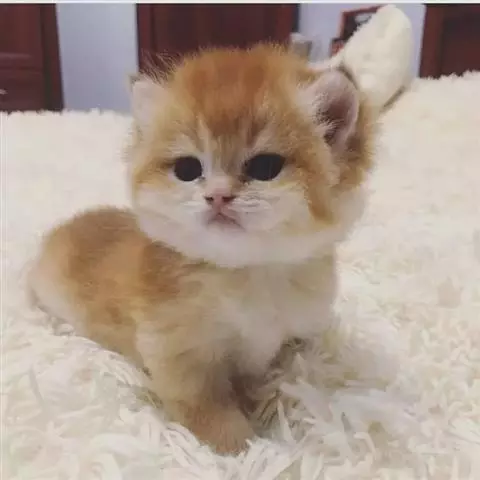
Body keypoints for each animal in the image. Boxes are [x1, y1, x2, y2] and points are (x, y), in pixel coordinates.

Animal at [29, 44, 374, 454]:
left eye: (265, 166)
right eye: (188, 169)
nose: (218, 195)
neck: (247, 272)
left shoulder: (292, 338)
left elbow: (280, 375)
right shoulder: (180, 354)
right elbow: (208, 409)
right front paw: (246, 448)